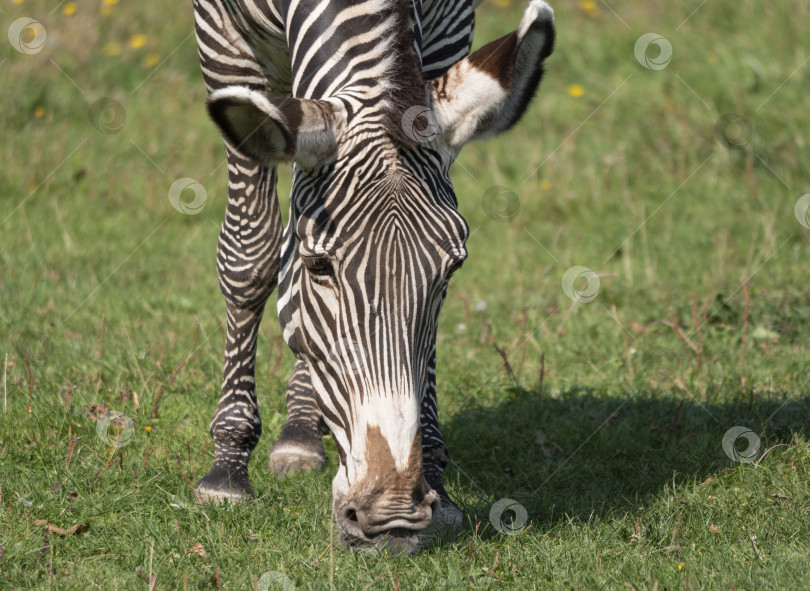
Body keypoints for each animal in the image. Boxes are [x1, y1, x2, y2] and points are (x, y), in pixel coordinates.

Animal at [192, 0, 552, 556]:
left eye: (452, 269)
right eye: (320, 267)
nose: (393, 516)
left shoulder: (448, 33)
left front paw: (438, 477)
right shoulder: (221, 38)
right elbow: (250, 254)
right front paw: (227, 469)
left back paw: (301, 429)